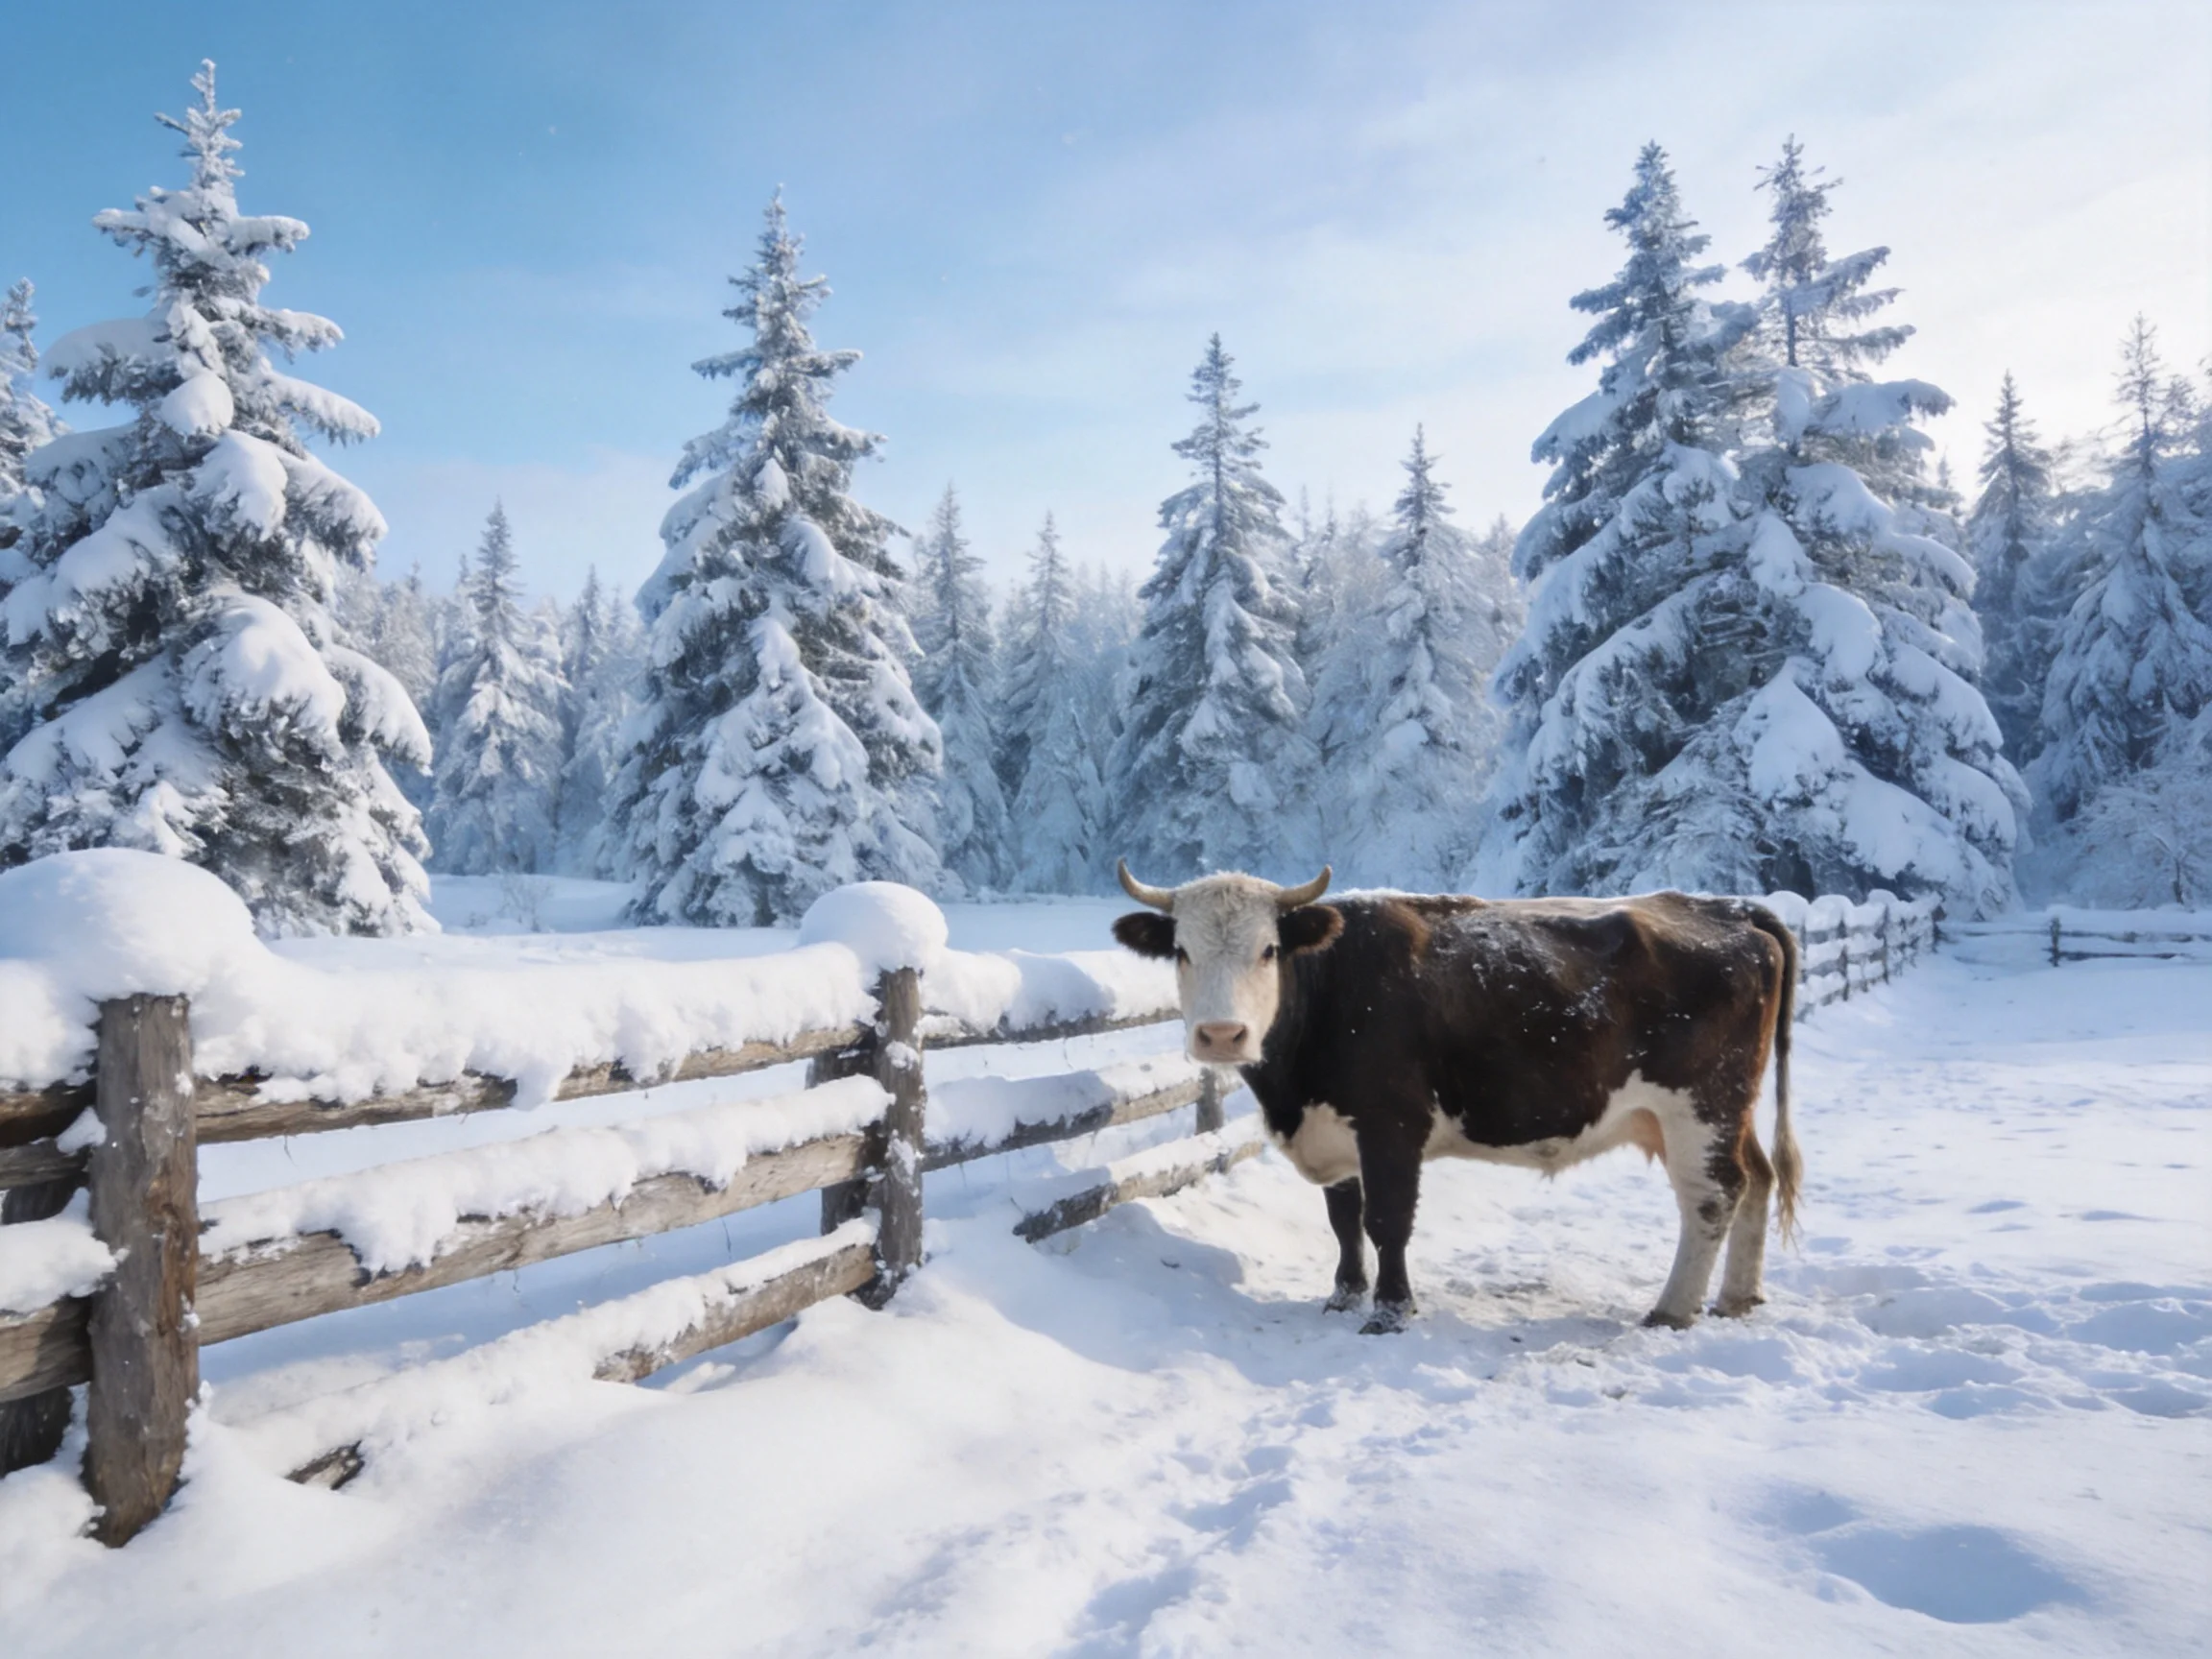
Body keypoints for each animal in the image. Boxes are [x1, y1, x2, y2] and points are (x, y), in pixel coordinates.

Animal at [1110, 862, 1800, 1334]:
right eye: (1181, 951)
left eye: (1269, 949)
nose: (1221, 1034)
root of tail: (1727, 908)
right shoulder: (1336, 1128)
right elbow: (1343, 1221)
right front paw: (1343, 1295)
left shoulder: (1391, 1123)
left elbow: (1386, 1221)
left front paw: (1389, 1311)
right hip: (1721, 1111)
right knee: (1759, 1178)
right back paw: (1737, 1298)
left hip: (1699, 1106)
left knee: (1714, 1195)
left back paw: (1672, 1310)